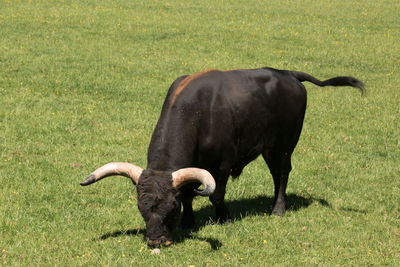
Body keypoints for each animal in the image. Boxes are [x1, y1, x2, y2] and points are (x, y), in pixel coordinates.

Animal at [79, 68, 364, 248]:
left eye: (170, 209)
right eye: (141, 209)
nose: (156, 241)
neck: (197, 112)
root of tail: (289, 74)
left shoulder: (223, 165)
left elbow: (215, 194)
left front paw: (223, 218)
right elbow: (189, 193)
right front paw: (189, 222)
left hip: (283, 144)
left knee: (281, 173)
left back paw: (278, 209)